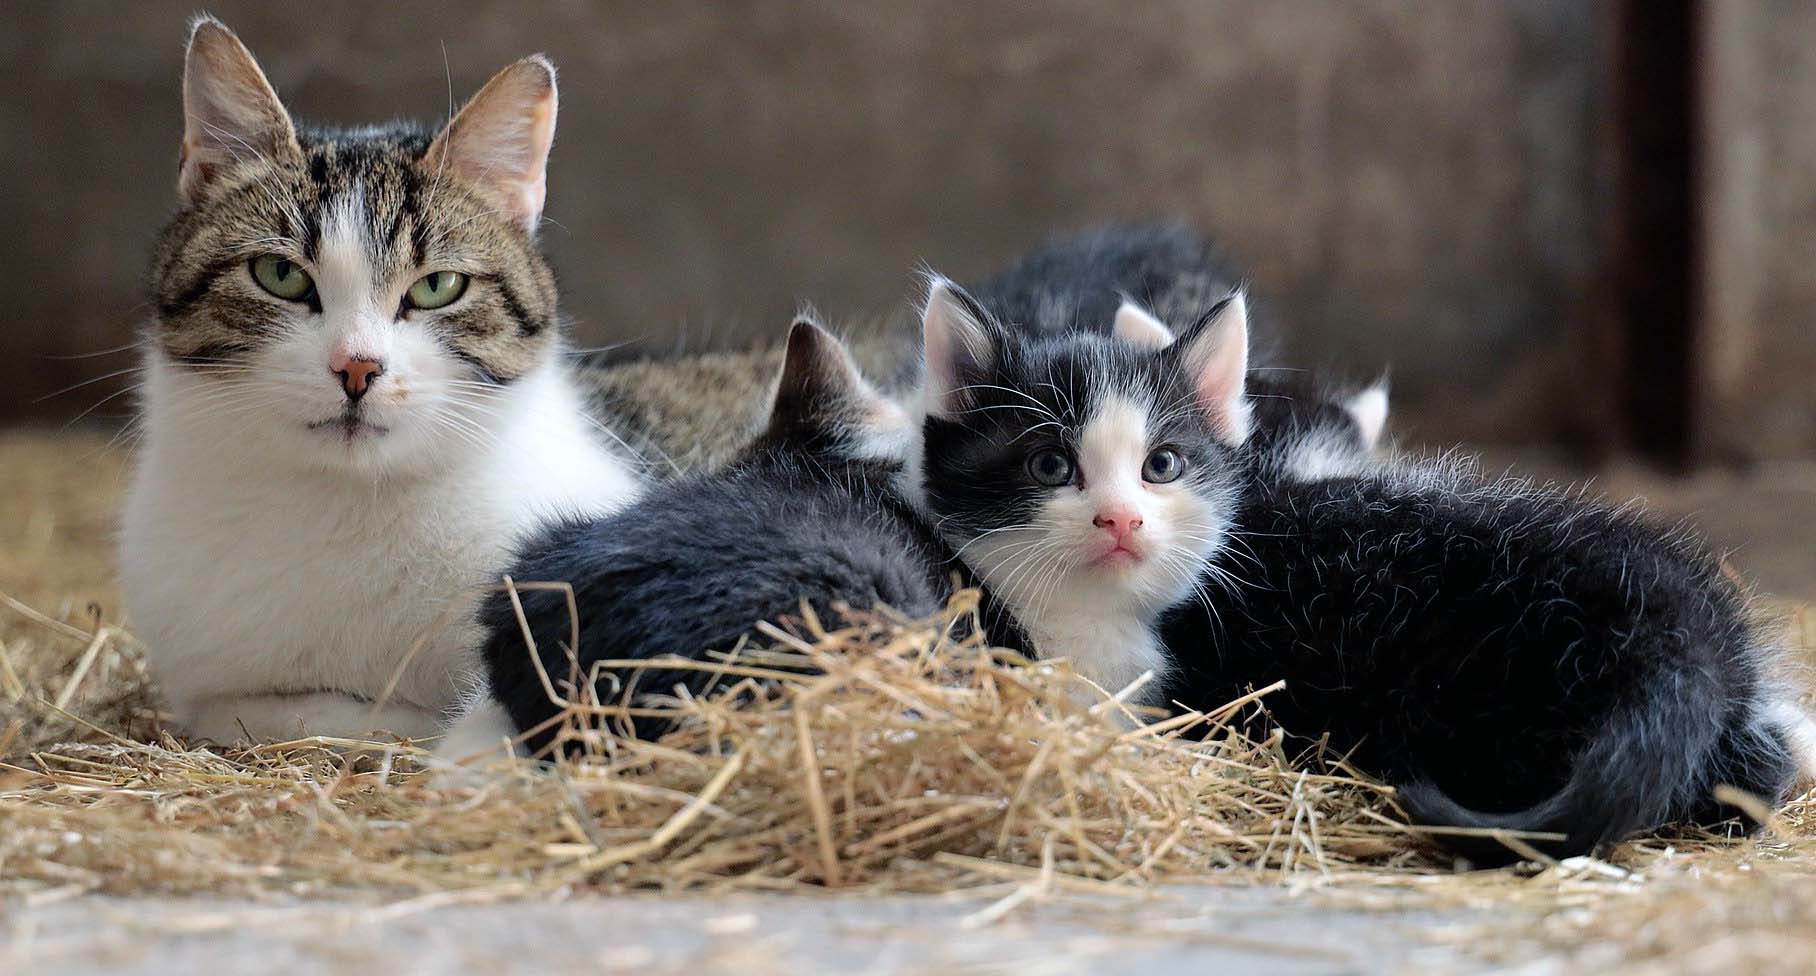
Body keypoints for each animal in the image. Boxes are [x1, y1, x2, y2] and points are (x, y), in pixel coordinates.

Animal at [118, 19, 639, 741]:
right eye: (280, 276)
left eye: (438, 286)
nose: (356, 366)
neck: (351, 503)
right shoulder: (212, 688)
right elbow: (291, 713)